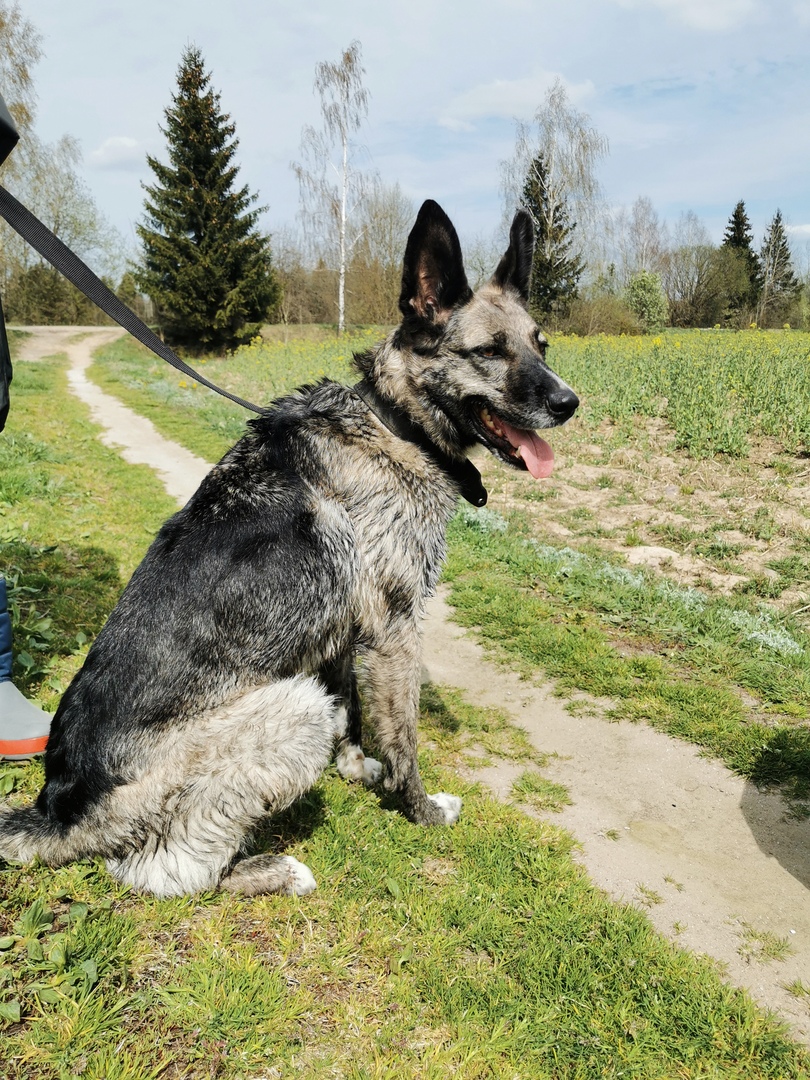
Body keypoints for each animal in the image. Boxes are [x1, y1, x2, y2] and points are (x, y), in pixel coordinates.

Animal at [0, 200, 578, 898]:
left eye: (541, 345)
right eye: (488, 352)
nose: (569, 403)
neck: (394, 422)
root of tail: (58, 805)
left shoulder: (348, 634)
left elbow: (356, 712)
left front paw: (358, 770)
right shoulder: (395, 630)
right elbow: (404, 737)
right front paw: (420, 810)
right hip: (297, 711)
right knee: (166, 871)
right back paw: (270, 869)